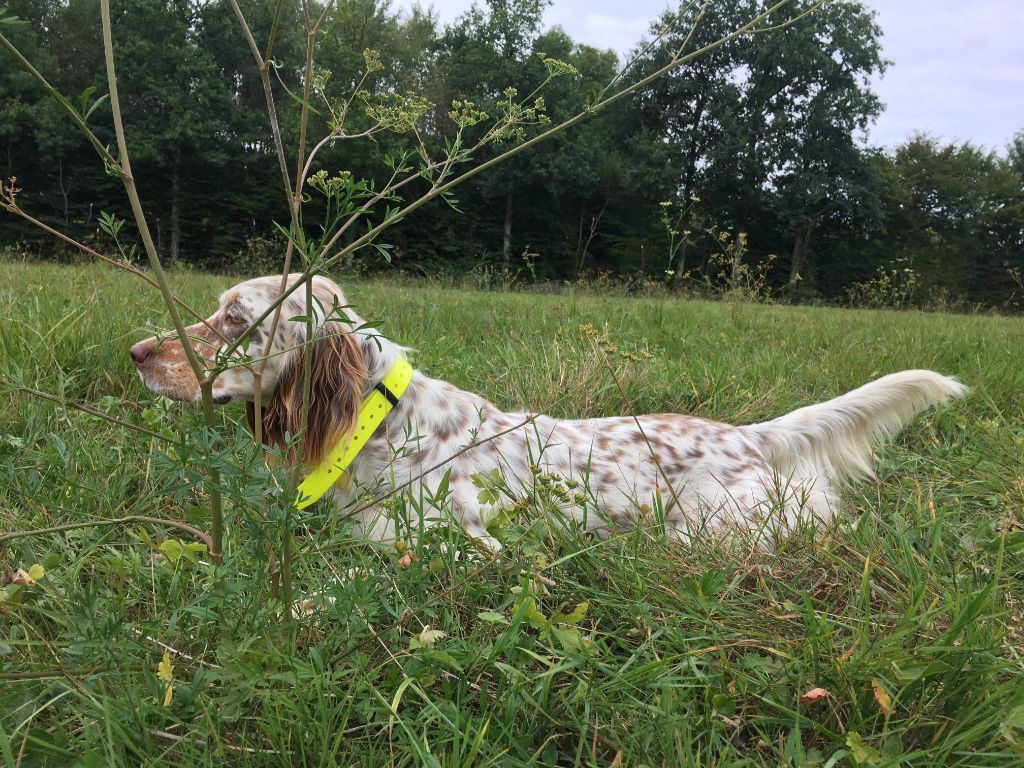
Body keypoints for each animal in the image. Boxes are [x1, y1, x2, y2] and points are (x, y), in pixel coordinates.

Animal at [130, 274, 966, 548]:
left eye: (234, 320)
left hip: (710, 534)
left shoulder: (461, 549)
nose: (137, 351)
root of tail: (748, 436)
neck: (382, 422)